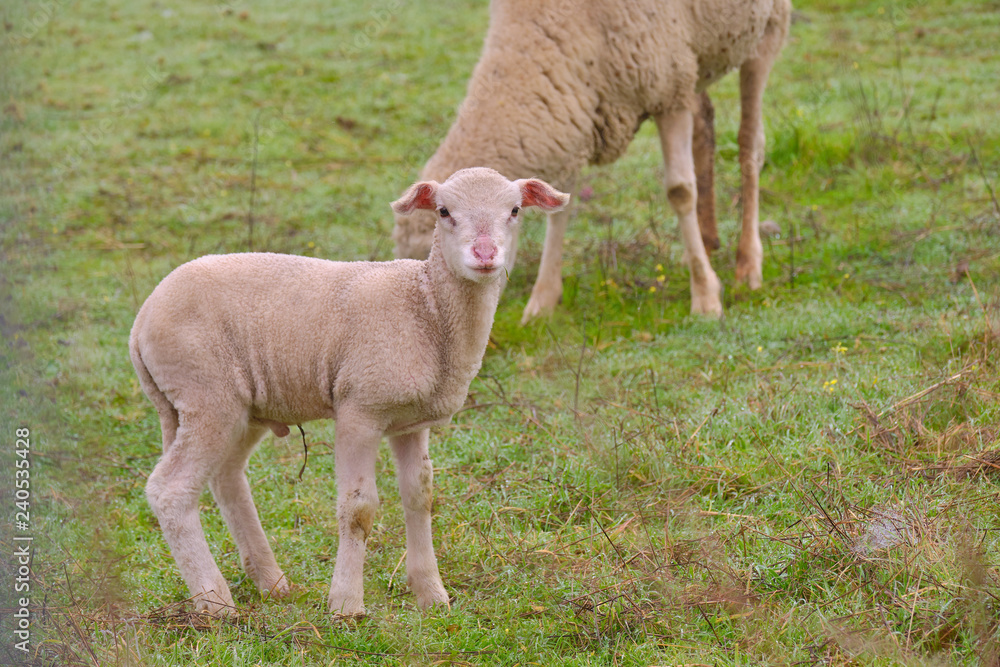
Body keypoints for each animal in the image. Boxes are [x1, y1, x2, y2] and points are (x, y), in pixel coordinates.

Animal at [129, 167, 569, 617]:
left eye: (514, 211)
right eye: (444, 212)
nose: (484, 254)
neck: (426, 306)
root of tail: (142, 320)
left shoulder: (412, 423)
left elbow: (420, 497)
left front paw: (432, 594)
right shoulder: (360, 409)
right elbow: (358, 508)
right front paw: (345, 604)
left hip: (242, 406)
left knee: (227, 477)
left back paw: (271, 581)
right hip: (205, 393)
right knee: (170, 490)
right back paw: (215, 602)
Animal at [392, 0, 791, 321]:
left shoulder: (668, 89)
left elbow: (680, 191)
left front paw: (706, 297)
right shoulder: (575, 108)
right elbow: (558, 208)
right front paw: (542, 301)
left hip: (766, 29)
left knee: (750, 144)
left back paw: (747, 265)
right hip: (700, 55)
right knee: (705, 127)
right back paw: (706, 243)